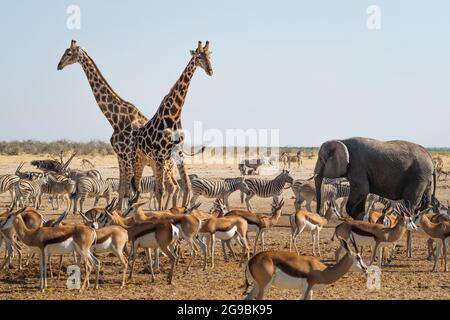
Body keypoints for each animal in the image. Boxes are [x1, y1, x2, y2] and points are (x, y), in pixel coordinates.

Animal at [132, 40, 213, 210]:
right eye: (198, 56)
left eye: (209, 55)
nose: (210, 70)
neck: (174, 115)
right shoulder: (159, 155)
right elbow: (160, 190)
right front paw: (161, 213)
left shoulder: (178, 153)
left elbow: (186, 185)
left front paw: (181, 210)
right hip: (139, 160)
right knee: (137, 187)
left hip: (154, 163)